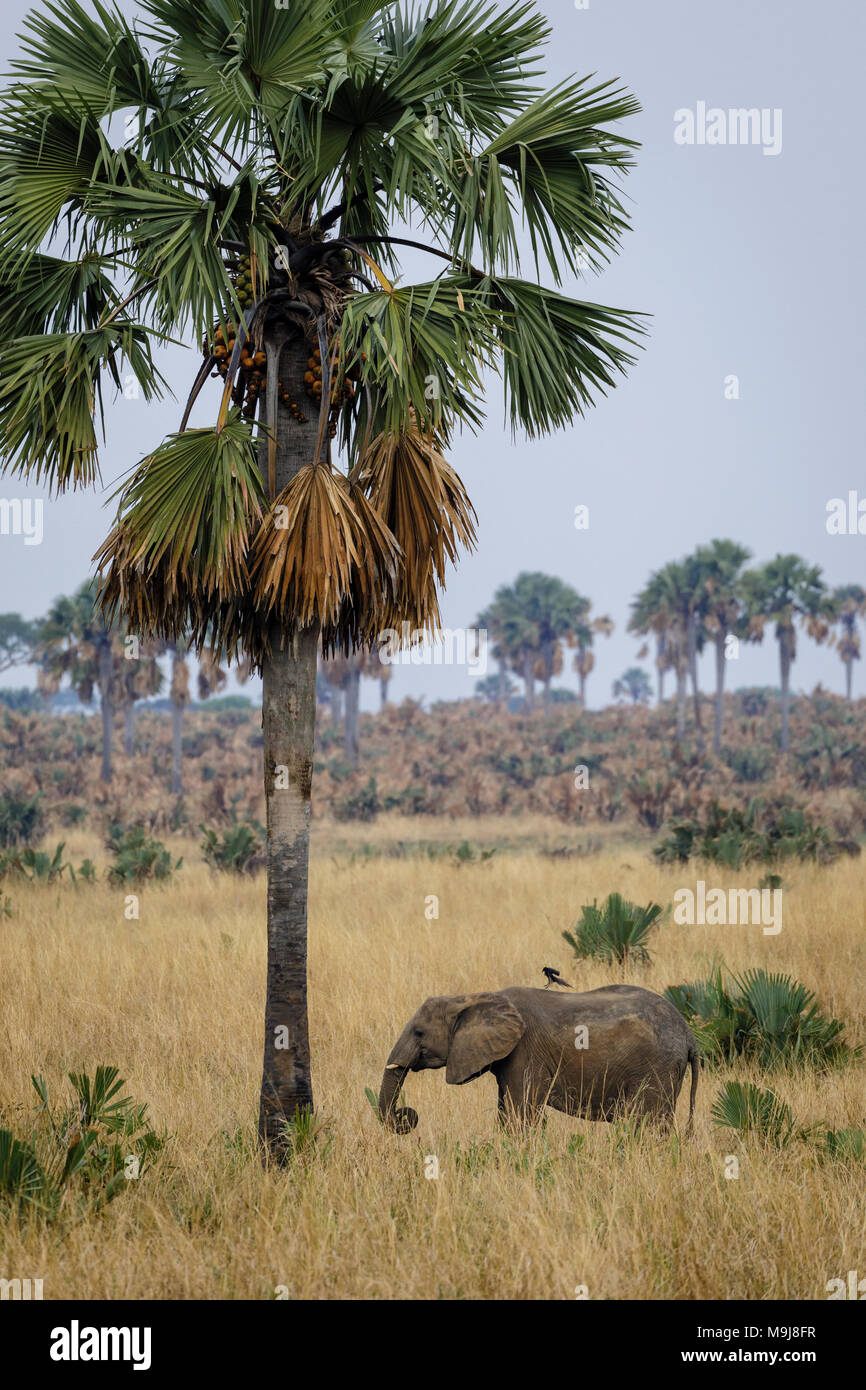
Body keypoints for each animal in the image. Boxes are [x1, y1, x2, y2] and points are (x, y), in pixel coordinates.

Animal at [379, 984, 699, 1134]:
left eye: (419, 1032)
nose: (407, 1116)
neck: (473, 997)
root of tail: (688, 1032)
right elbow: (507, 1112)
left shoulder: (525, 1051)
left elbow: (520, 1114)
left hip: (656, 1067)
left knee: (646, 1125)